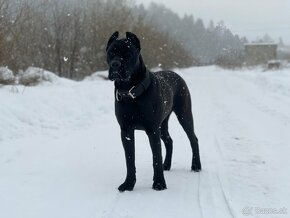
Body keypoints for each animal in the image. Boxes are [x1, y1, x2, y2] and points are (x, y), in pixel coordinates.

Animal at [106, 30, 202, 191]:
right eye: (110, 52)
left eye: (128, 53)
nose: (115, 64)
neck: (131, 92)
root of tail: (177, 75)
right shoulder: (126, 130)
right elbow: (130, 159)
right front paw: (128, 184)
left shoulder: (152, 130)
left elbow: (156, 157)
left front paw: (159, 183)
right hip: (162, 124)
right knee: (169, 141)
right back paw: (167, 165)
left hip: (184, 115)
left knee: (193, 139)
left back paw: (196, 165)